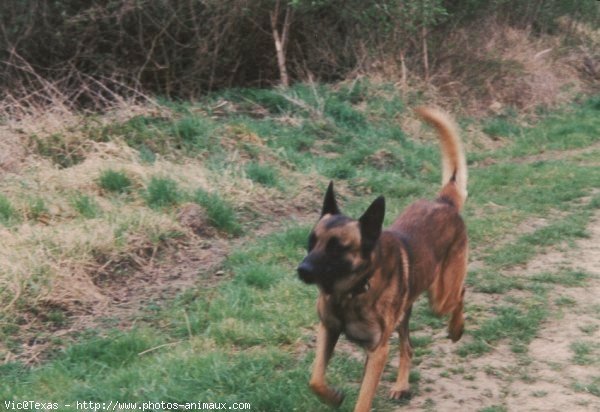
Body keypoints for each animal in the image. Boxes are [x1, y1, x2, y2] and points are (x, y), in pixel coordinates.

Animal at [298, 108, 466, 410]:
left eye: (337, 247)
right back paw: (401, 385)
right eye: (311, 242)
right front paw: (333, 396)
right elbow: (315, 378)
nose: (302, 269)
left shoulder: (377, 352)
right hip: (405, 314)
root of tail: (443, 202)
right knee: (408, 348)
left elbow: (363, 400)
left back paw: (457, 328)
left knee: (461, 293)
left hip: (440, 298)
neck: (351, 292)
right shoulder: (328, 330)